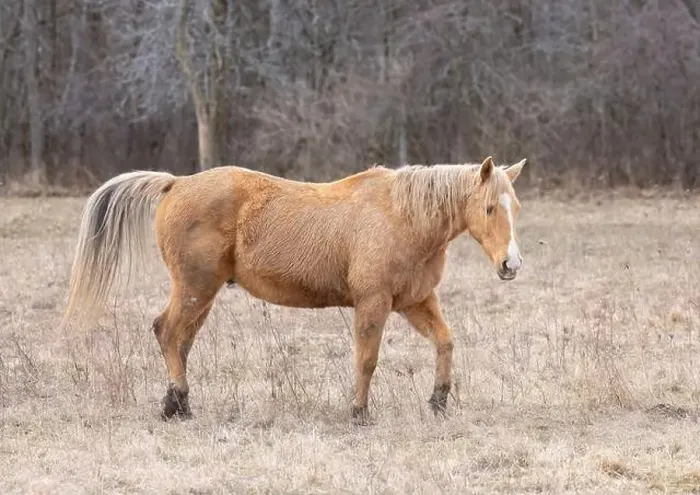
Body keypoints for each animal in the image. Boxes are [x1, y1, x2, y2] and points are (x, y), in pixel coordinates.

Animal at [65, 156, 526, 423]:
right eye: (489, 208)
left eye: (515, 207)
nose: (511, 264)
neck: (402, 215)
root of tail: (175, 183)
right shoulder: (373, 303)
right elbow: (367, 360)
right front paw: (358, 413)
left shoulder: (415, 302)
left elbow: (445, 342)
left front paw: (438, 402)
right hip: (195, 287)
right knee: (167, 332)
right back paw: (178, 401)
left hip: (201, 294)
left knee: (180, 340)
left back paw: (176, 406)